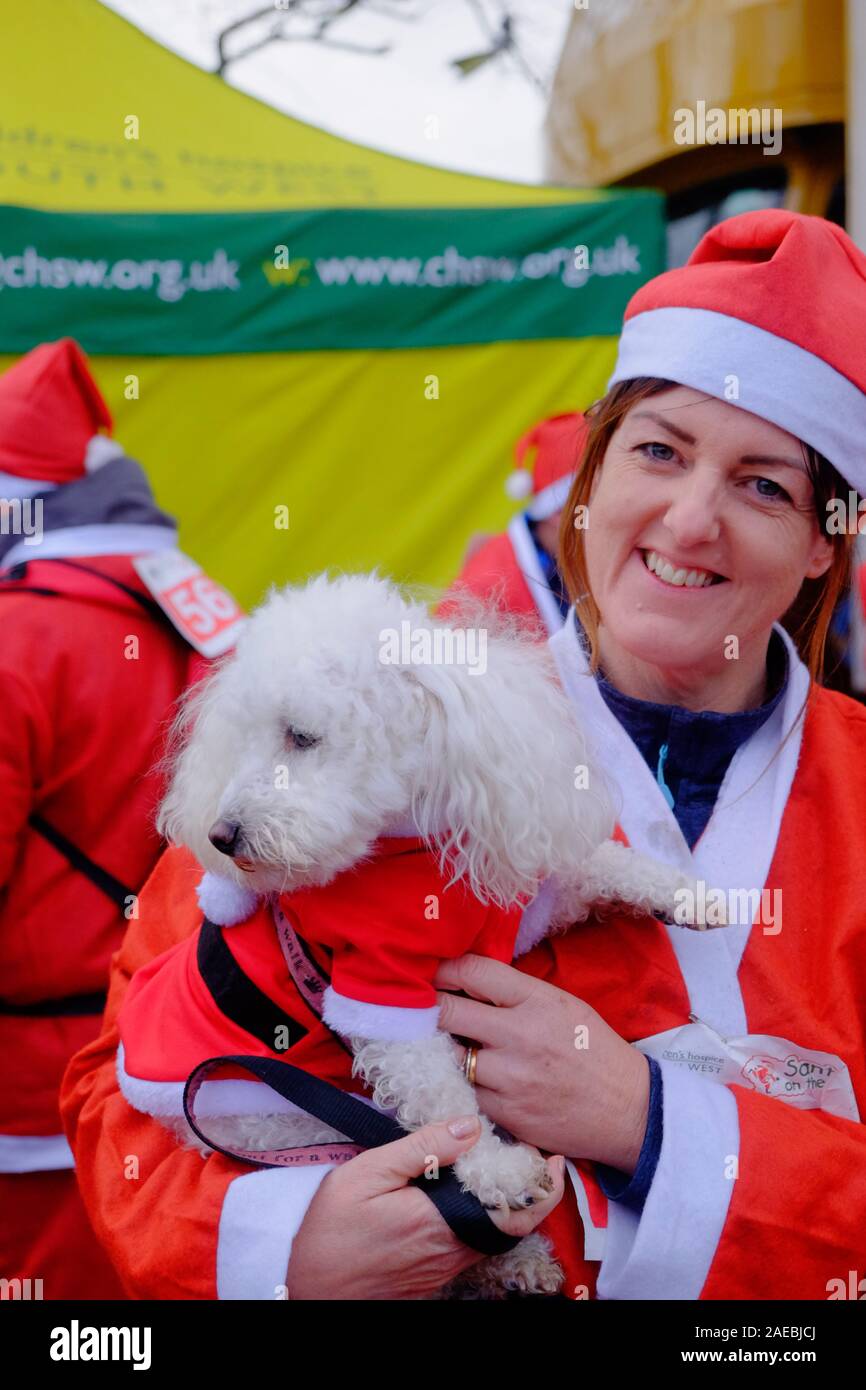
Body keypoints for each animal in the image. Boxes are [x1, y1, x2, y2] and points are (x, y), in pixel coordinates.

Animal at [157, 569, 717, 1295]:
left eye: (300, 737)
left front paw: (688, 895)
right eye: (243, 739)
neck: (408, 846)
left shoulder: (519, 901)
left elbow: (595, 866)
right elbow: (442, 1098)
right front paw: (498, 1171)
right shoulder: (378, 984)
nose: (222, 836)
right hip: (279, 1122)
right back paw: (511, 1257)